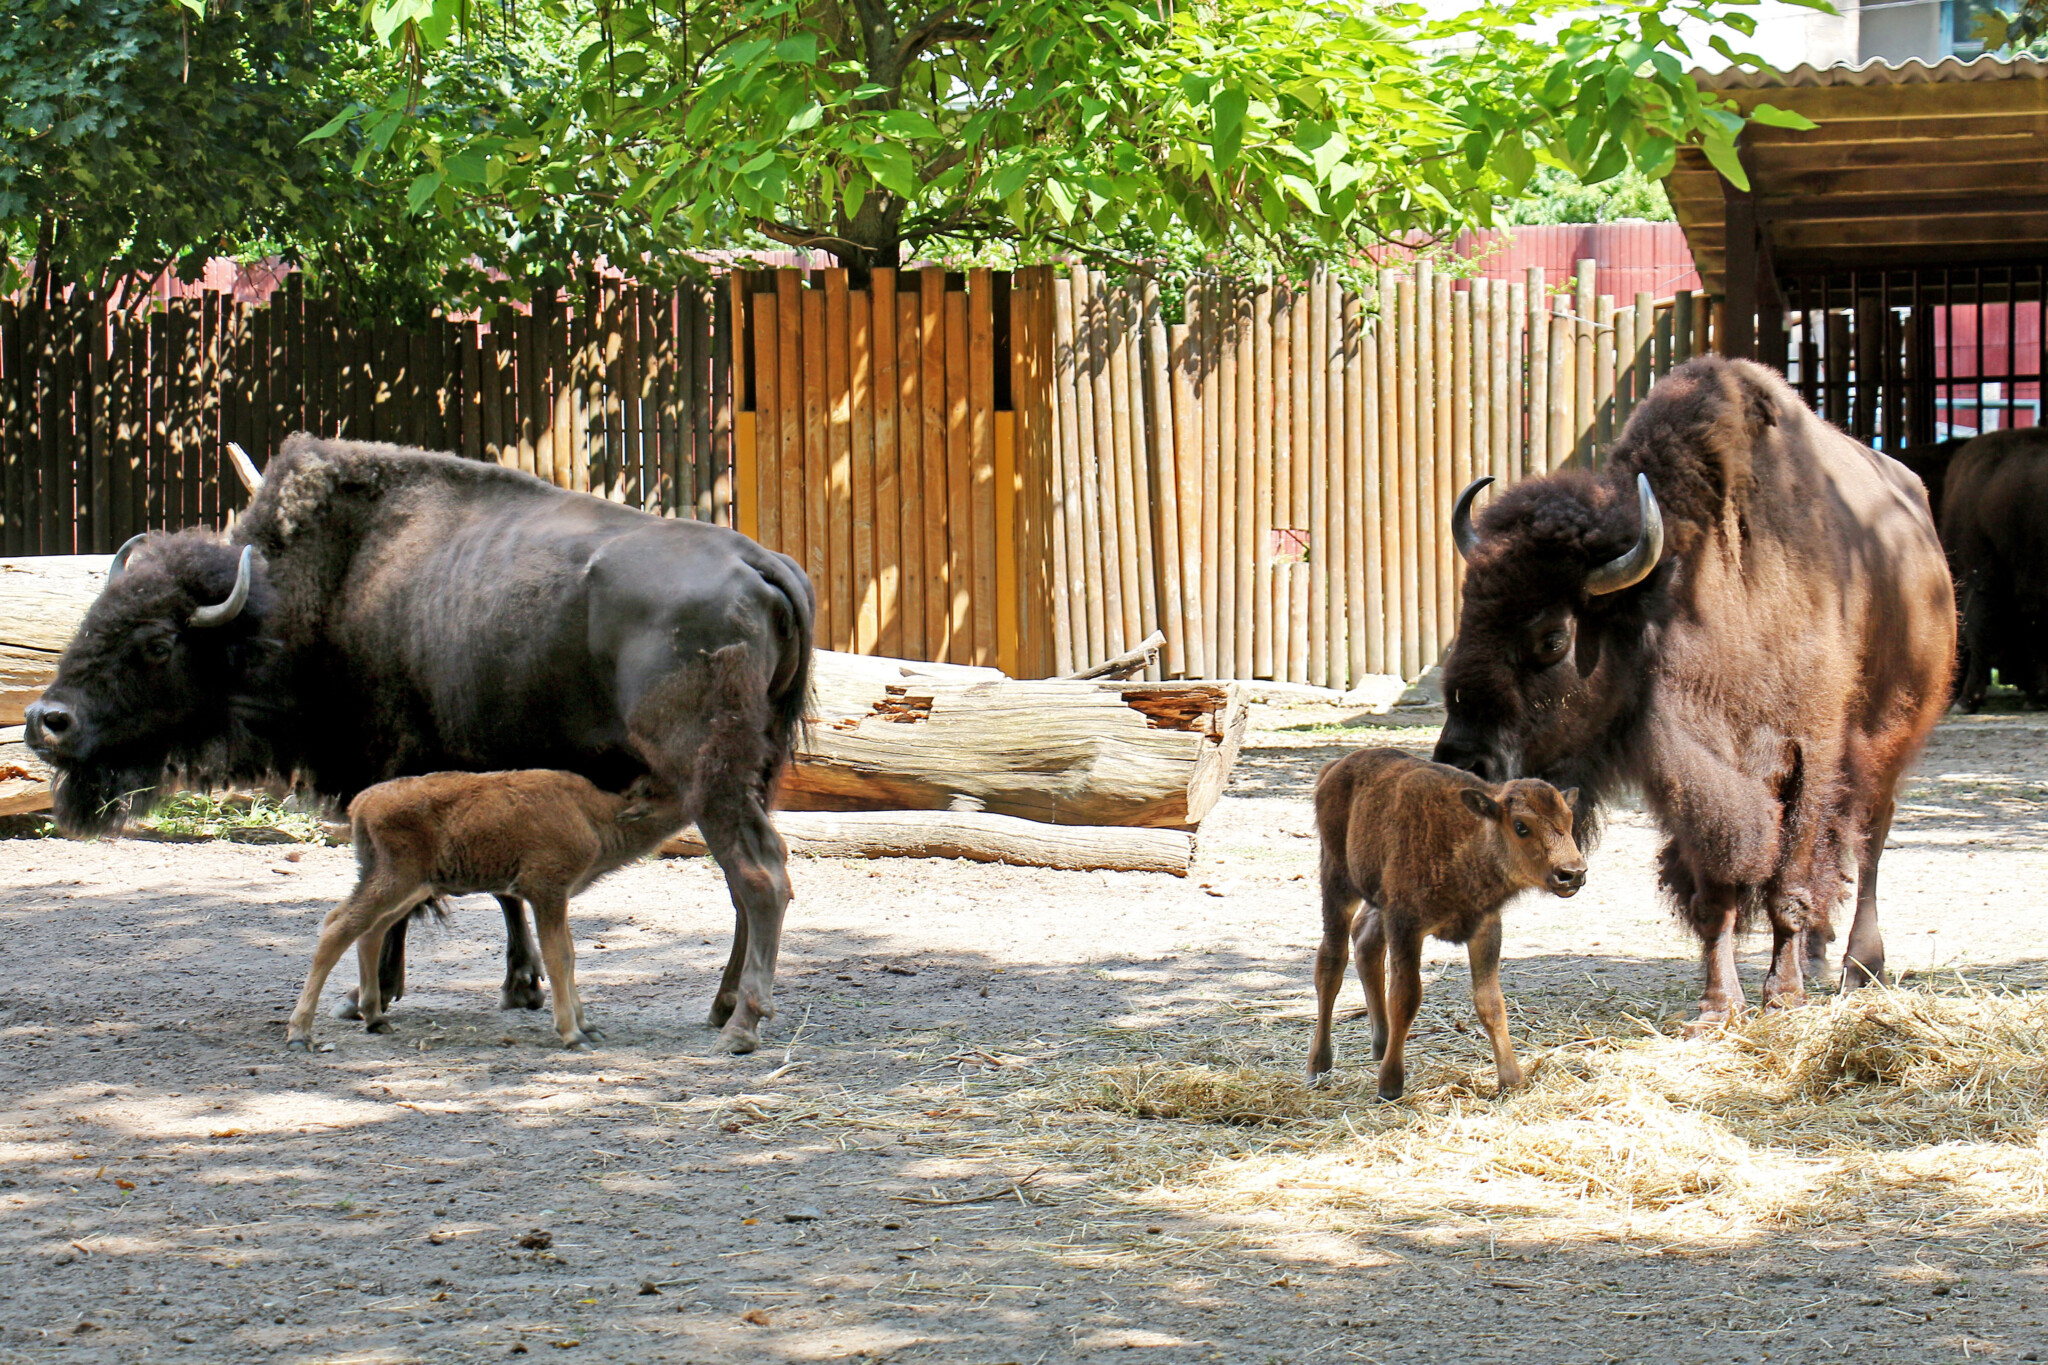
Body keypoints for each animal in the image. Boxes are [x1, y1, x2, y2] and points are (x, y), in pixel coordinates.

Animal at [25, 437, 815, 1055]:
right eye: (94, 616)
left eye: (157, 643)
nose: (45, 721)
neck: (332, 586)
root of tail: (760, 563)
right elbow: (502, 890)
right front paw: (520, 987)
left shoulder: (395, 771)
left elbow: (401, 901)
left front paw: (367, 997)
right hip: (751, 772)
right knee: (745, 880)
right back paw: (721, 1005)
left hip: (708, 772)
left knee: (759, 874)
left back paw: (742, 1024)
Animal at [1310, 753, 1581, 1105]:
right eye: (1521, 826)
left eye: (1569, 820)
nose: (1572, 873)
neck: (1471, 837)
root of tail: (1333, 769)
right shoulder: (1405, 925)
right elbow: (1406, 996)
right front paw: (1390, 1084)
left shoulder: (1484, 929)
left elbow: (1490, 1002)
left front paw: (1511, 1080)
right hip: (1337, 881)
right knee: (1331, 961)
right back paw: (1319, 1064)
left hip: (1376, 900)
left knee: (1366, 944)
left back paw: (1381, 1044)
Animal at [1433, 358, 1957, 1031]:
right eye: (1468, 615)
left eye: (1553, 637)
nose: (1463, 760)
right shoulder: (1690, 776)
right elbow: (1716, 895)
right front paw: (1717, 1007)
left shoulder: (1810, 757)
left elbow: (1790, 884)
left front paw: (1781, 997)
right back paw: (1818, 955)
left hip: (1885, 742)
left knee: (1868, 846)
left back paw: (1859, 967)